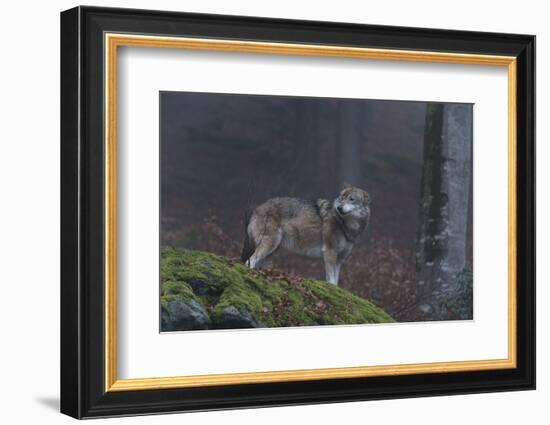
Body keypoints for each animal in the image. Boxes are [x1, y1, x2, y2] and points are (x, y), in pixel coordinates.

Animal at [240, 185, 374, 284]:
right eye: (342, 198)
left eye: (352, 199)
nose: (339, 207)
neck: (345, 224)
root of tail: (256, 208)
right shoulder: (330, 252)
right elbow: (331, 280)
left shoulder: (339, 259)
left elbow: (336, 280)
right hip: (269, 244)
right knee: (250, 261)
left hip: (272, 250)